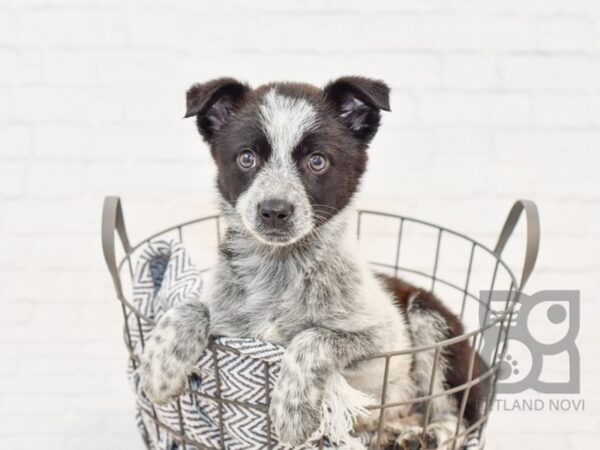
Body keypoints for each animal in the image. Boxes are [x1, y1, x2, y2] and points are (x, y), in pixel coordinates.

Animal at [139, 75, 488, 448]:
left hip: (432, 324)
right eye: (246, 158)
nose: (274, 211)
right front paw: (159, 367)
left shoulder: (385, 340)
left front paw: (292, 408)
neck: (281, 268)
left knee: (457, 416)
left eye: (317, 162)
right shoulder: (229, 325)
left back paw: (424, 434)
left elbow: (315, 337)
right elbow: (191, 306)